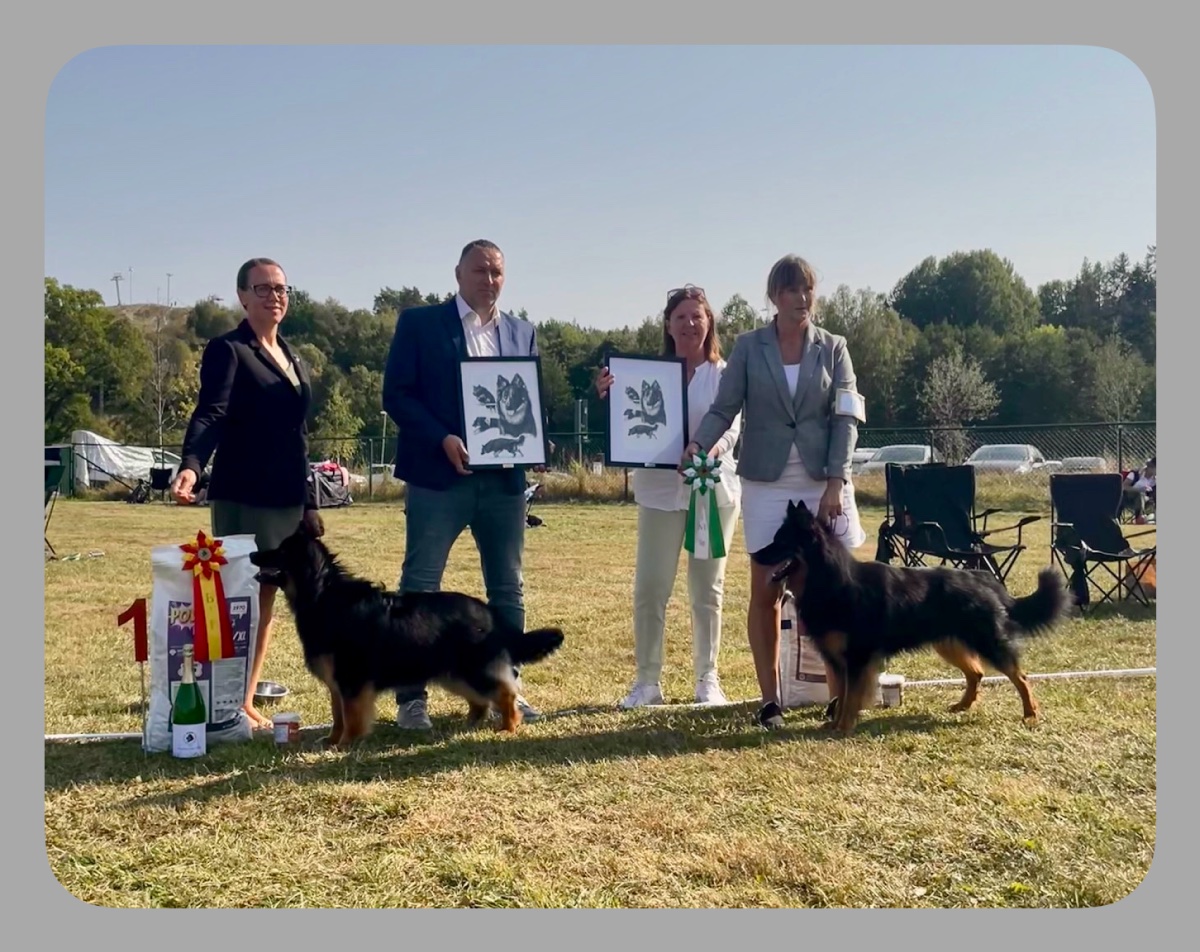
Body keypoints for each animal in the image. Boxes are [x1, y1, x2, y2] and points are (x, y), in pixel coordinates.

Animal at [249, 521, 566, 749]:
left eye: (280, 551)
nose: (252, 553)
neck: (321, 595)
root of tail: (490, 614)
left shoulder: (352, 680)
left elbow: (351, 717)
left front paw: (346, 744)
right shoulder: (337, 683)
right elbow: (338, 715)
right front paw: (331, 741)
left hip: (473, 668)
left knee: (504, 692)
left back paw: (509, 727)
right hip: (453, 673)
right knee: (481, 700)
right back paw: (470, 725)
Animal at [758, 501, 1070, 729]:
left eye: (781, 542)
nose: (755, 556)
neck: (830, 578)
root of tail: (982, 579)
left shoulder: (857, 658)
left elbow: (851, 697)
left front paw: (844, 727)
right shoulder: (841, 660)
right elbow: (844, 694)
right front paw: (835, 724)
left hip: (987, 643)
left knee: (1020, 676)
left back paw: (1030, 714)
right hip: (948, 643)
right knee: (977, 673)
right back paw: (963, 705)